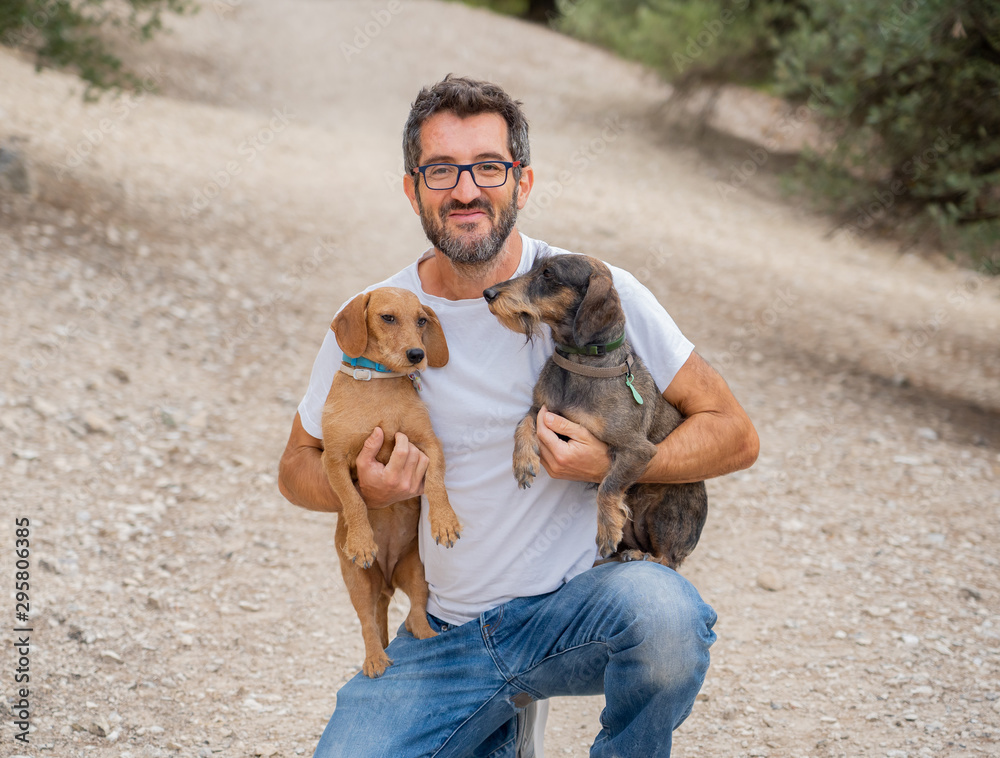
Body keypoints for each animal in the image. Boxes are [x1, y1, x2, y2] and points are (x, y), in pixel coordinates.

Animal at [320, 288, 460, 680]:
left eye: (422, 320)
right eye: (387, 318)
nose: (417, 355)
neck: (379, 387)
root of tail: (384, 582)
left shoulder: (429, 445)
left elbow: (437, 484)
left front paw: (444, 520)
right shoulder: (333, 461)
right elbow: (353, 501)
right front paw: (361, 539)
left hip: (416, 572)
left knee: (415, 615)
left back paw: (429, 638)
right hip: (359, 585)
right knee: (368, 624)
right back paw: (374, 659)